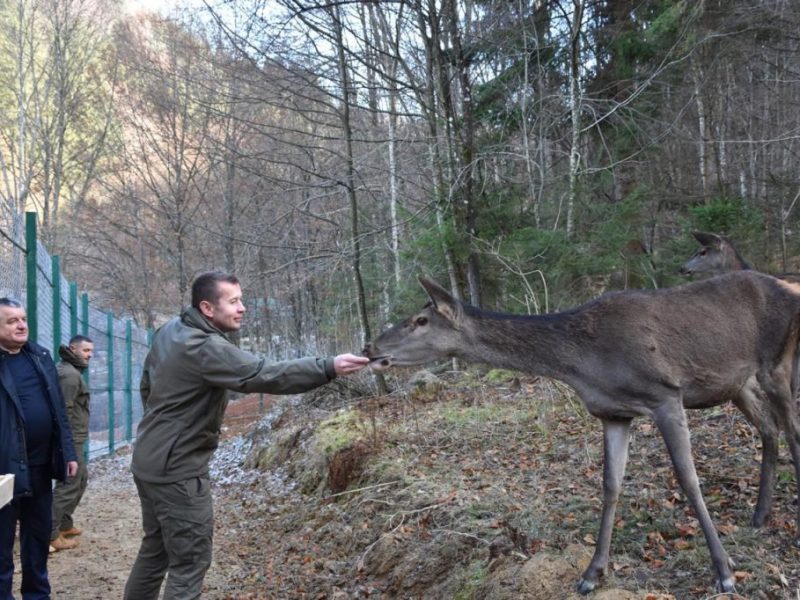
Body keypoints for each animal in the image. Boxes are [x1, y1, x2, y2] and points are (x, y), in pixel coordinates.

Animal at [364, 274, 800, 596]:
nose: (371, 347)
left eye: (420, 321)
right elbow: (610, 484)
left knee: (792, 429)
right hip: (736, 383)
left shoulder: (665, 395)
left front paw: (723, 571)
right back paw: (760, 514)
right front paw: (592, 573)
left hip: (776, 362)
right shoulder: (614, 413)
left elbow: (689, 480)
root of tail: (790, 287)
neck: (583, 363)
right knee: (770, 428)